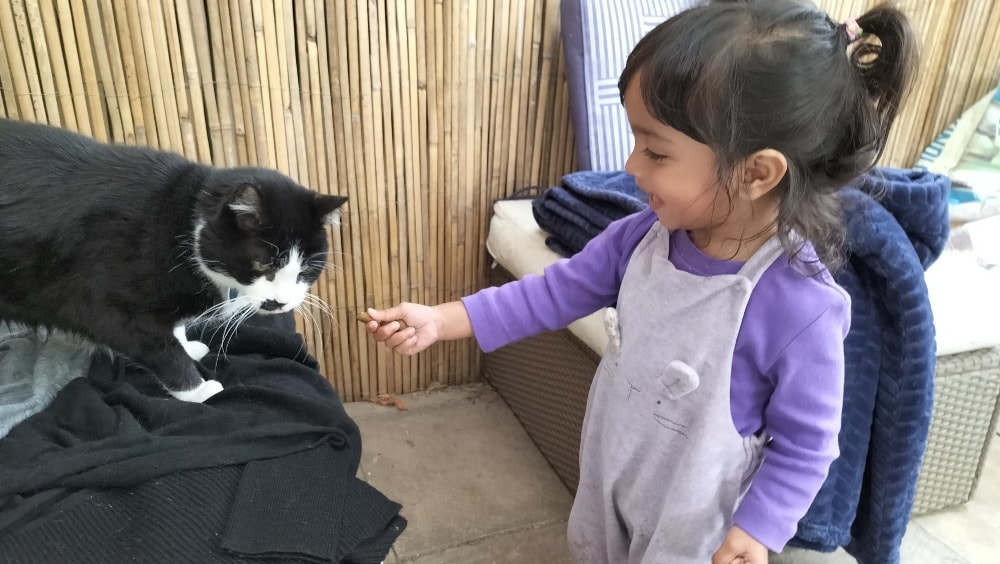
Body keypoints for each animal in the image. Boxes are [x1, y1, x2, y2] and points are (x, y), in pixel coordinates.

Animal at [0, 118, 347, 402]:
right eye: (263, 264)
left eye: (307, 269)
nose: (281, 302)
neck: (181, 225)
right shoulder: (107, 304)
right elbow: (159, 348)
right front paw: (200, 391)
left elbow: (172, 329)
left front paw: (187, 346)